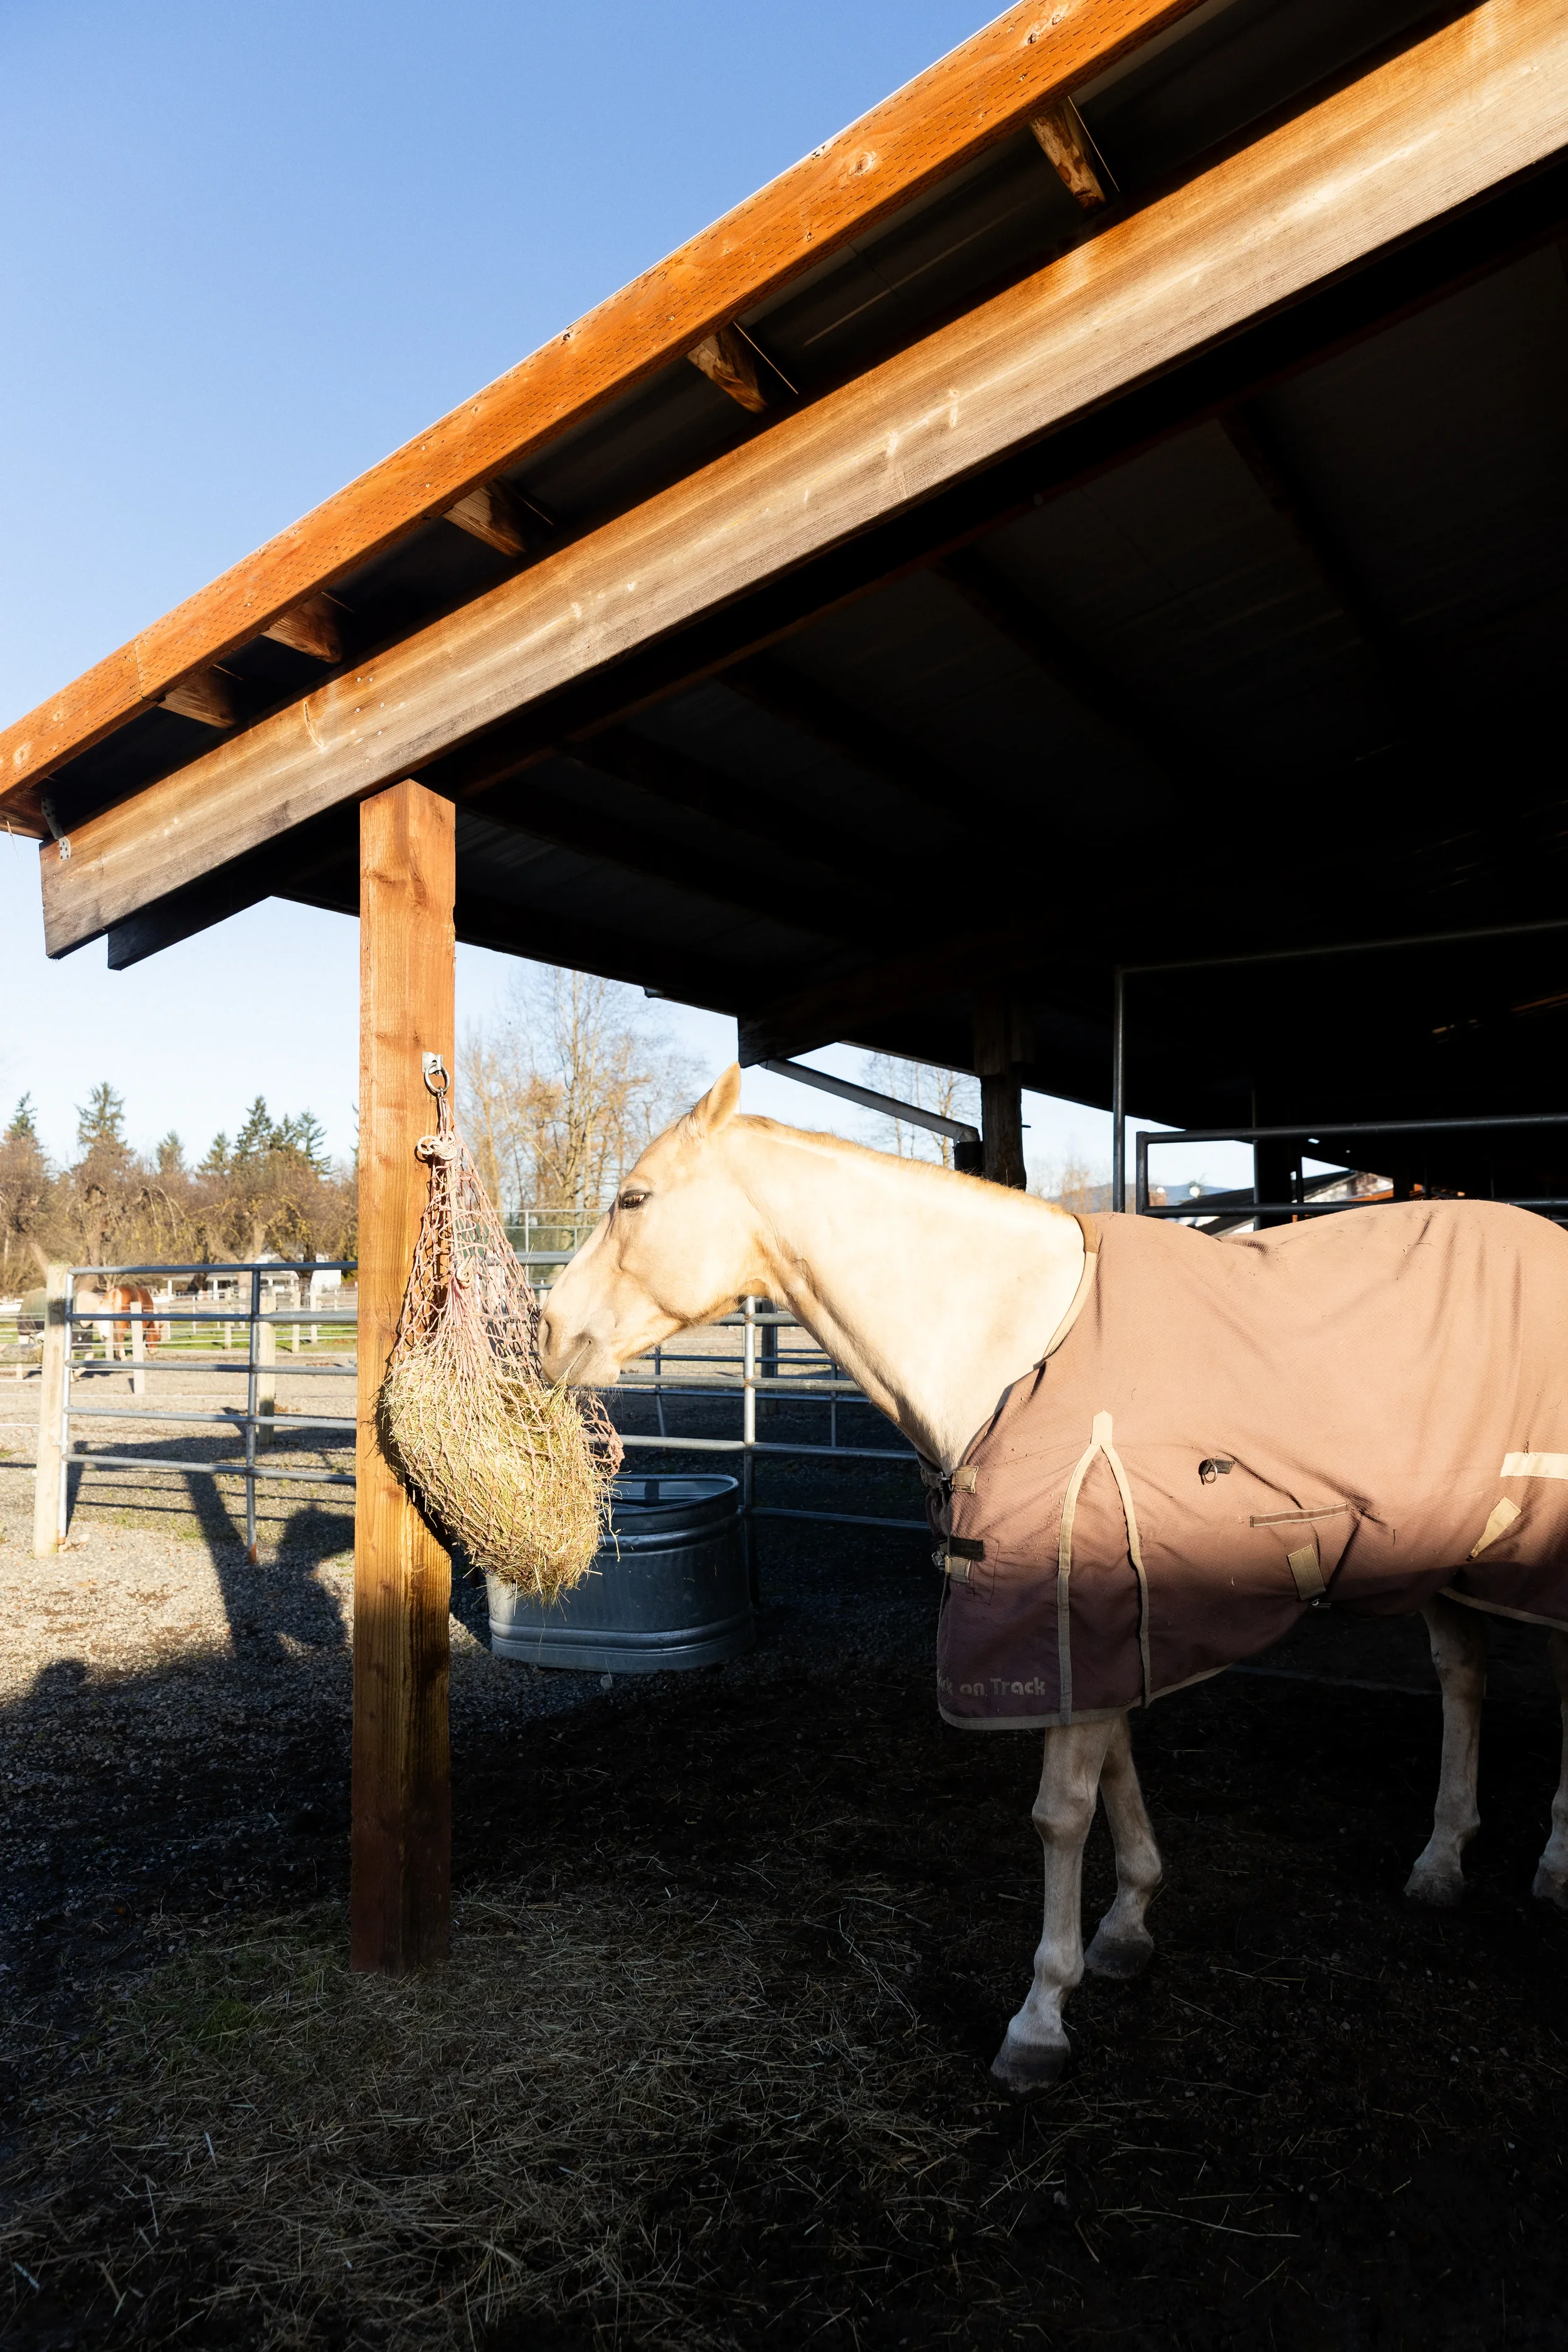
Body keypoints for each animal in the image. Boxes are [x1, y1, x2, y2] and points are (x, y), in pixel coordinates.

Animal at [539, 1065, 1568, 2093]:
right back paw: (1441, 1860)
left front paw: (1041, 2016)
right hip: (1451, 1550)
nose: (547, 1330)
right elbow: (1114, 1770)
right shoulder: (1099, 1622)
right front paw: (1128, 1924)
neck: (1015, 1342)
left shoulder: (1070, 1604)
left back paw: (1554, 1865)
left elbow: (1061, 1812)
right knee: (1465, 1680)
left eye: (634, 1198)